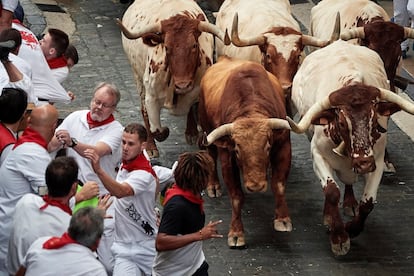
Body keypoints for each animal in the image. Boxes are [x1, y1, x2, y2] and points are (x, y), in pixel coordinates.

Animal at [116, 0, 230, 157]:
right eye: (167, 47)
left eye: (194, 45)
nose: (183, 85)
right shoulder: (151, 97)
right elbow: (157, 131)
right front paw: (160, 135)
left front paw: (195, 134)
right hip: (137, 77)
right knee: (143, 110)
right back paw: (150, 146)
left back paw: (191, 132)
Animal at [198, 55, 292, 248]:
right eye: (237, 150)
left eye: (267, 146)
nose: (255, 186)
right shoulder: (227, 158)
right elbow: (236, 196)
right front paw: (236, 233)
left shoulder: (284, 146)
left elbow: (278, 184)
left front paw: (282, 219)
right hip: (207, 131)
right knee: (210, 155)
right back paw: (213, 186)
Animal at [288, 40, 414, 256]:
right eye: (340, 120)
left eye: (374, 119)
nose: (363, 163)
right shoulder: (317, 154)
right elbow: (331, 192)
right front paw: (338, 236)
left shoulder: (377, 160)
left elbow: (368, 203)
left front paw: (352, 229)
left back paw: (349, 203)